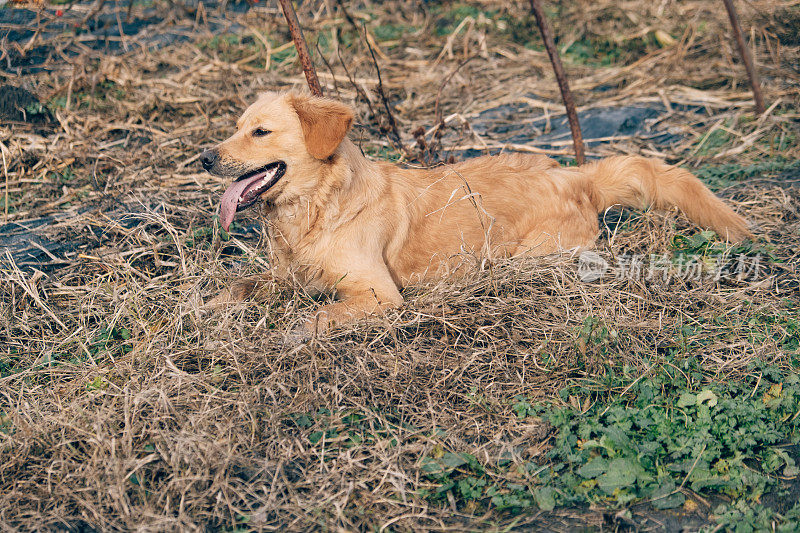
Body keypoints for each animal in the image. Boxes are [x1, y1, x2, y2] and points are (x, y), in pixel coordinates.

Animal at [200, 91, 752, 332]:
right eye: (236, 127)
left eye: (261, 132)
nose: (205, 157)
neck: (315, 207)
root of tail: (574, 175)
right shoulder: (285, 274)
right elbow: (240, 286)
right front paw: (209, 307)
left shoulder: (378, 294)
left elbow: (318, 315)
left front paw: (290, 332)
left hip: (530, 257)